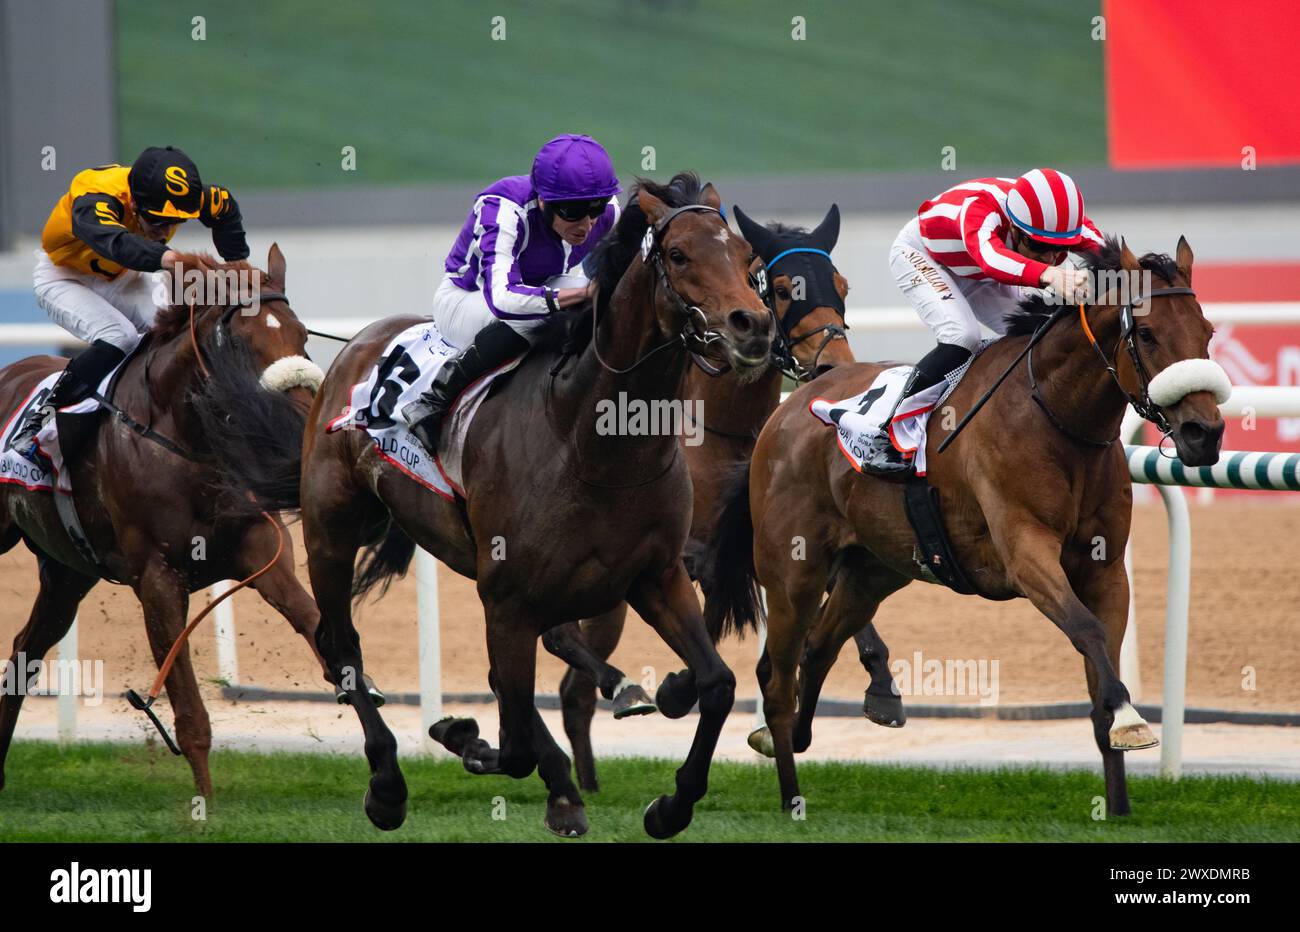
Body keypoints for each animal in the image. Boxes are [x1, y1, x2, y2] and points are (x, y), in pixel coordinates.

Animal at [0, 246, 332, 790]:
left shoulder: (259, 548)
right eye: (241, 343)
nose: (304, 427)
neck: (183, 438)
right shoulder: (157, 578)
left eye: (302, 336)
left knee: (26, 650)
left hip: (66, 572)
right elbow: (191, 716)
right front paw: (206, 806)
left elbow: (317, 626)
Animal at [284, 172, 769, 837]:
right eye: (678, 255)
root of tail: (359, 343)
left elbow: (716, 683)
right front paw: (466, 738)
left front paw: (671, 805)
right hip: (332, 531)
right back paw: (387, 783)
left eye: (748, 259)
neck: (593, 444)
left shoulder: (655, 574)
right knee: (342, 645)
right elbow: (510, 744)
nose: (753, 325)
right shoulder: (509, 595)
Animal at [553, 201, 857, 785]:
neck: (718, 430)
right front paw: (676, 689)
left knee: (573, 687)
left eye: (842, 284)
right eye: (779, 288)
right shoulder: (683, 554)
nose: (834, 368)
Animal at [707, 237, 1222, 816]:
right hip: (792, 571)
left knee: (818, 646)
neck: (1055, 416)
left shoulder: (1106, 568)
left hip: (874, 571)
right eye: (1149, 334)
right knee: (777, 681)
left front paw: (1117, 805)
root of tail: (788, 408)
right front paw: (1133, 721)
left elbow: (1099, 667)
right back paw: (790, 793)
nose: (1204, 433)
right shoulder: (1026, 555)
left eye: (1207, 332)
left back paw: (800, 734)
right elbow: (1087, 631)